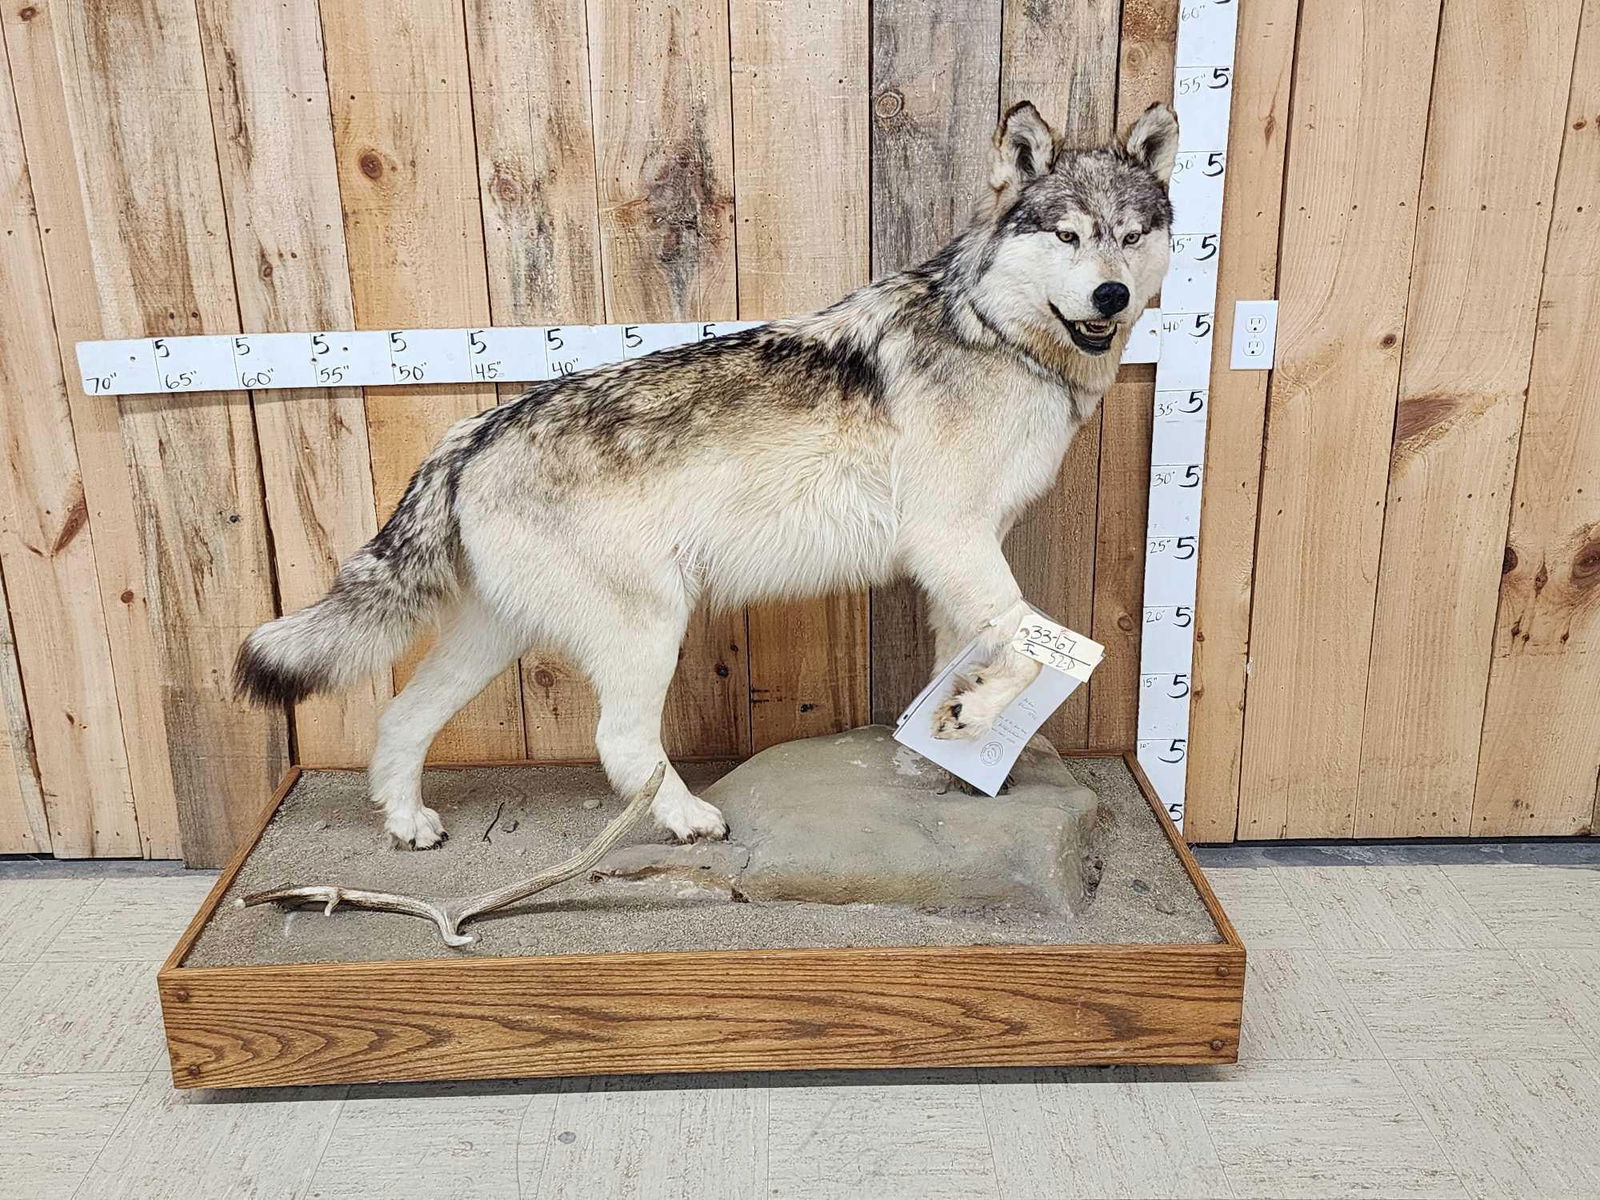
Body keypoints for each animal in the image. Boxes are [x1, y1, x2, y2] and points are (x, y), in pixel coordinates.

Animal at [235, 100, 1178, 848]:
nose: (1110, 297)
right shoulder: (952, 539)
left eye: (1132, 239)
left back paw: (407, 824)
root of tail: (470, 432)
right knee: (620, 743)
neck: (997, 337)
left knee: (399, 718)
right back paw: (689, 819)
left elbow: (968, 661)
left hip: (498, 635)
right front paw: (978, 718)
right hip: (649, 625)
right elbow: (1023, 648)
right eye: (1068, 236)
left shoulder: (959, 557)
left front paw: (952, 745)